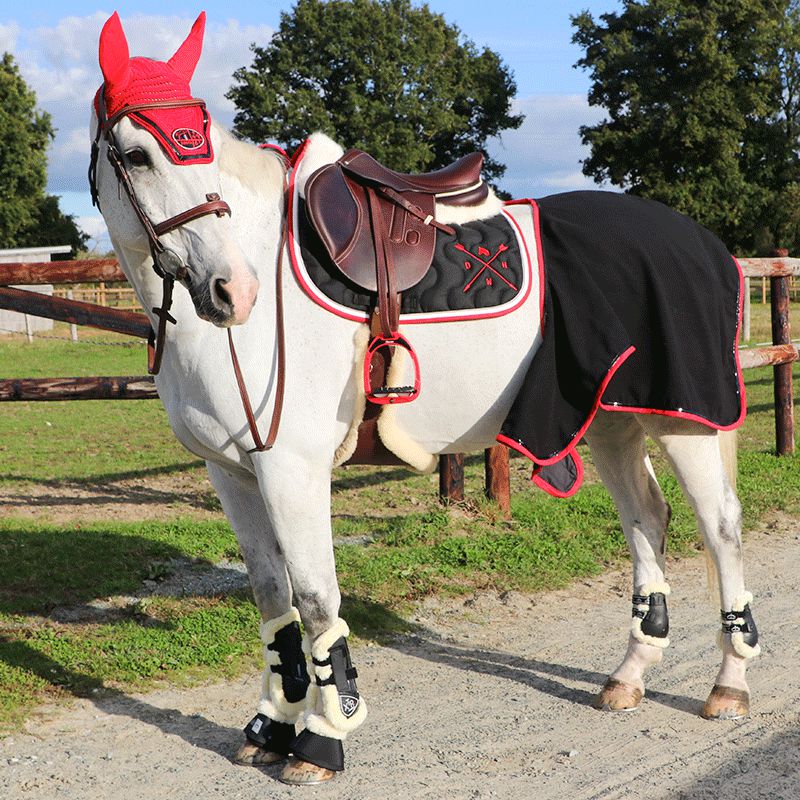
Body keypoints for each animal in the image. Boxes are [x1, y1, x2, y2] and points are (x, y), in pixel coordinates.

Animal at [89, 12, 760, 785]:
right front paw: (271, 725)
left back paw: (729, 683)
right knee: (646, 521)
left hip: (685, 423)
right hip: (613, 423)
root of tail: (707, 243)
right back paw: (629, 674)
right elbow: (271, 597)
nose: (234, 289)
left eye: (201, 145)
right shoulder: (232, 471)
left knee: (720, 529)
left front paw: (322, 737)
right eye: (137, 155)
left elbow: (316, 599)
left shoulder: (292, 469)